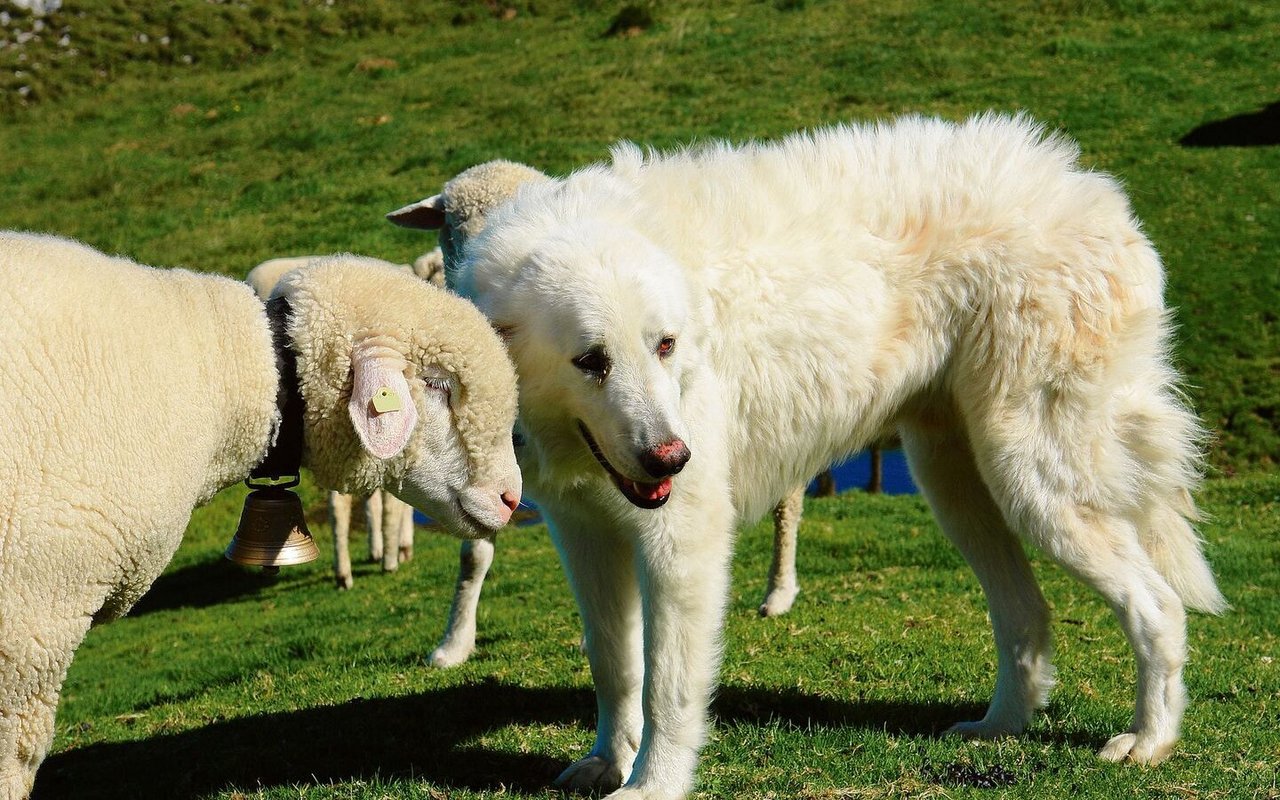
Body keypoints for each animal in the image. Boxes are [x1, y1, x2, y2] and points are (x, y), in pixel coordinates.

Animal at [455, 113, 1223, 798]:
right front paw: (606, 763)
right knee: (1027, 615)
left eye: (665, 345)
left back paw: (1148, 741)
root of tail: (1097, 197)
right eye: (591, 361)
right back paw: (999, 728)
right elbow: (616, 668)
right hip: (957, 484)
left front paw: (652, 787)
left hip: (1036, 479)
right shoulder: (584, 534)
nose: (673, 458)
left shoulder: (683, 538)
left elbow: (668, 687)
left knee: (1157, 604)